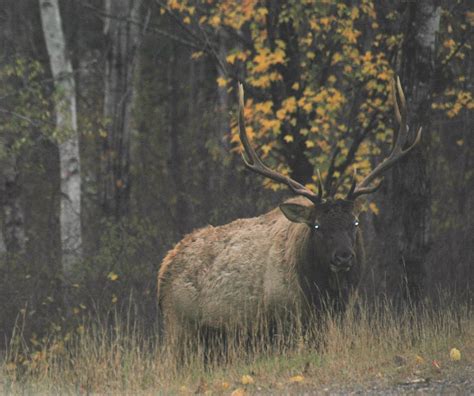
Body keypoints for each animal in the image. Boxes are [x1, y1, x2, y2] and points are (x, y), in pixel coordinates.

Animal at [157, 77, 420, 350]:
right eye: (317, 226)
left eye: (355, 223)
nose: (343, 257)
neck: (319, 295)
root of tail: (163, 271)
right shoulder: (281, 320)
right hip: (180, 329)